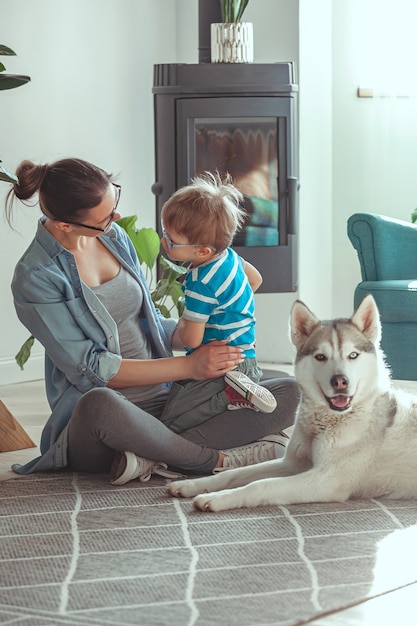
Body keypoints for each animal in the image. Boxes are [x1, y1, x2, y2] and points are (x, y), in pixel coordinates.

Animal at [165, 294, 416, 510]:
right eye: (320, 357)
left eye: (352, 355)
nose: (340, 382)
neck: (323, 423)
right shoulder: (291, 463)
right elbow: (234, 473)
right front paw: (192, 484)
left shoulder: (326, 480)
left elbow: (259, 485)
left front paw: (217, 499)